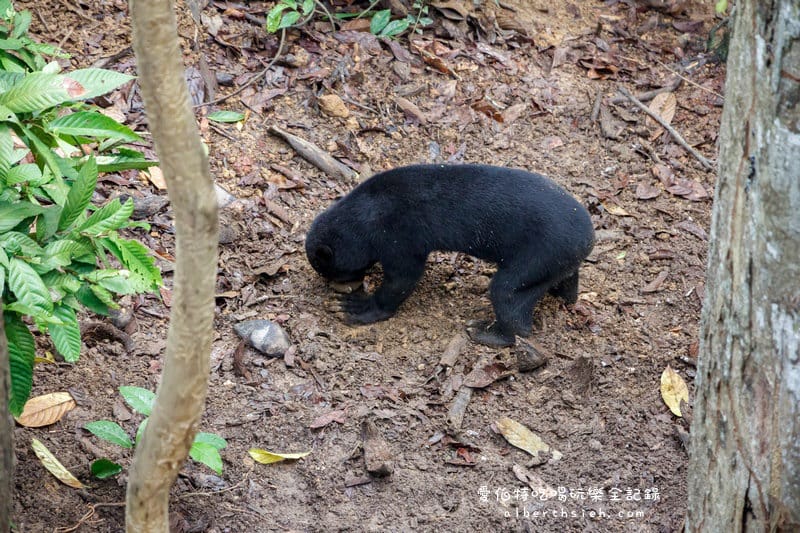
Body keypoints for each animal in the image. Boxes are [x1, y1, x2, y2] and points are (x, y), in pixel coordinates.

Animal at [305, 164, 594, 347]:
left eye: (331, 271)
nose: (339, 286)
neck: (367, 213)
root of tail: (589, 238)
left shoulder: (400, 235)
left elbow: (402, 277)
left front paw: (355, 306)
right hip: (555, 260)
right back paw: (565, 295)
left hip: (538, 254)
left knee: (508, 293)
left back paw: (485, 331)